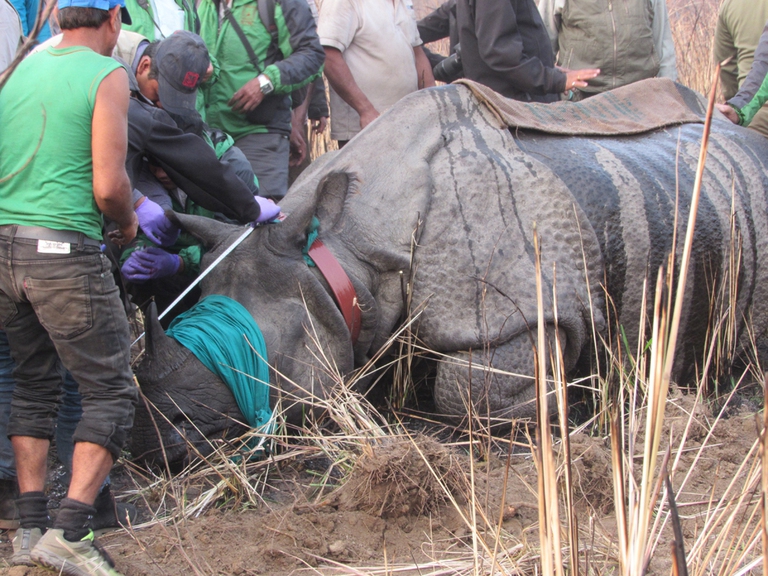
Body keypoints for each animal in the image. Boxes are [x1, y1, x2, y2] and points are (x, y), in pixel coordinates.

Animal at [131, 80, 768, 465]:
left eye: (261, 356)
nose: (159, 444)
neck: (339, 255)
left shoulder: (524, 306)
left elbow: (465, 390)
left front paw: (563, 403)